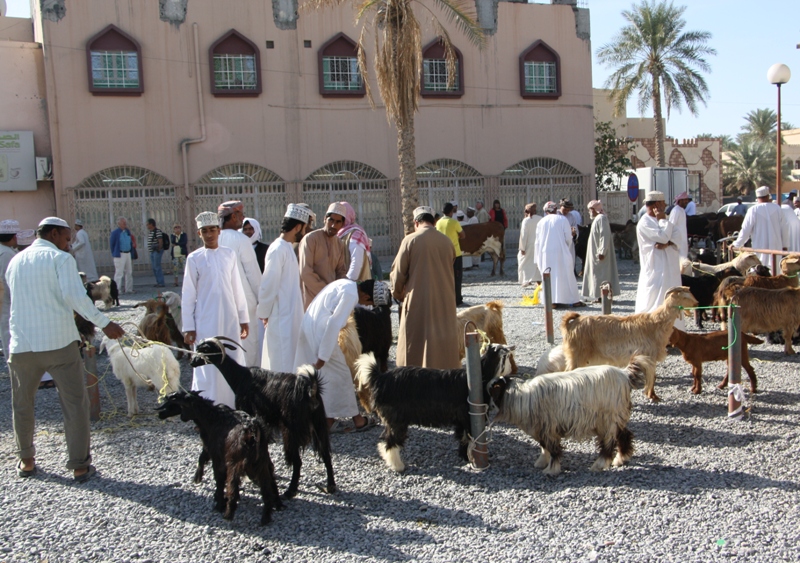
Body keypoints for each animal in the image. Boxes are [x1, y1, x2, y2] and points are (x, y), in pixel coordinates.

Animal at [157, 390, 282, 528]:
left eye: (173, 403)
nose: (160, 413)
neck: (211, 418)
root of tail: (252, 430)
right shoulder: (212, 448)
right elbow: (204, 458)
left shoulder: (217, 455)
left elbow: (219, 478)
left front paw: (219, 502)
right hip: (262, 464)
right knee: (267, 489)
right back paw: (267, 516)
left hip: (236, 463)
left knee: (233, 489)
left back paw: (228, 515)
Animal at [191, 338, 334, 500]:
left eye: (205, 349)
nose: (192, 362)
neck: (240, 377)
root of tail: (310, 389)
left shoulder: (247, 413)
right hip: (318, 422)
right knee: (325, 453)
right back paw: (330, 485)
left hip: (291, 428)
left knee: (297, 461)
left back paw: (290, 490)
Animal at [354, 344, 516, 472]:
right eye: (507, 357)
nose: (512, 369)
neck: (482, 374)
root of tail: (380, 378)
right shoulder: (469, 417)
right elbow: (470, 439)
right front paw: (471, 458)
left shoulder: (461, 420)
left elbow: (463, 438)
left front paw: (464, 456)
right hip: (397, 420)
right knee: (390, 441)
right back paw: (398, 466)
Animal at [488, 356, 648, 476]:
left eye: (490, 390)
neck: (520, 398)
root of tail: (624, 374)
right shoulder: (542, 429)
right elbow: (544, 447)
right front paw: (541, 462)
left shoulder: (549, 428)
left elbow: (553, 449)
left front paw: (551, 470)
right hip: (616, 417)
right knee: (624, 435)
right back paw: (620, 459)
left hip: (607, 419)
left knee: (609, 443)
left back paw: (599, 465)